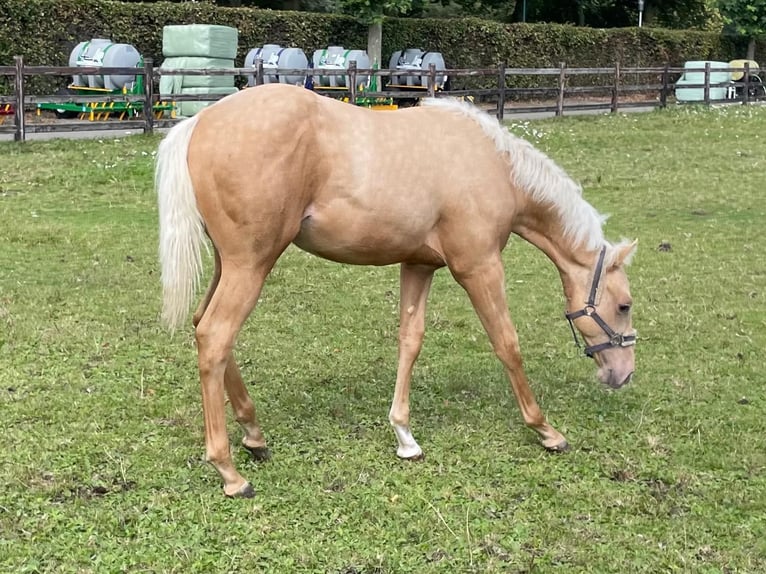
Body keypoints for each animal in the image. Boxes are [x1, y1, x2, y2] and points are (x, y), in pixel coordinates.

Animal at [154, 82, 636, 500]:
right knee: (215, 336)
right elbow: (507, 343)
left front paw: (405, 436)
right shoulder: (479, 267)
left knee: (204, 326)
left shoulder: (419, 265)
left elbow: (410, 340)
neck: (492, 163)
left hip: (230, 263)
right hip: (251, 264)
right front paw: (546, 430)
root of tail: (200, 123)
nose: (623, 375)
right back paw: (230, 472)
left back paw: (254, 435)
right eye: (624, 306)